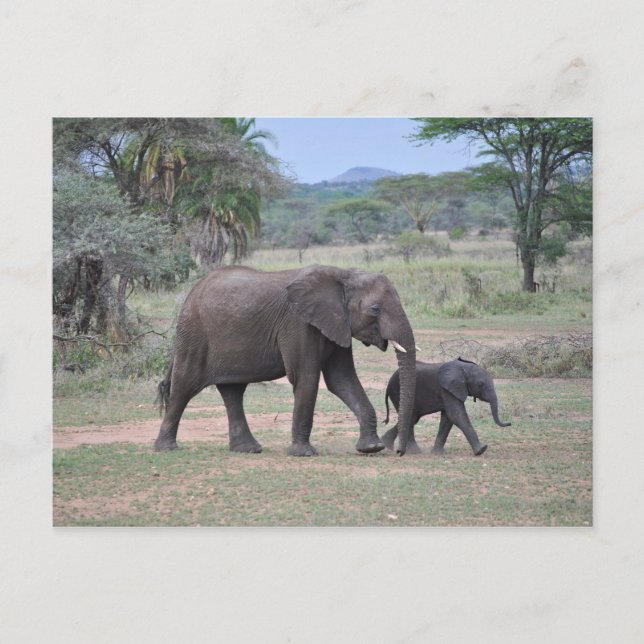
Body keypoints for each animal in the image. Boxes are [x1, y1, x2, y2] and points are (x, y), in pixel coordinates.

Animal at [154, 264, 417, 456]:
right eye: (375, 309)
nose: (399, 452)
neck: (343, 274)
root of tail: (192, 291)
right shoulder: (299, 323)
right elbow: (306, 378)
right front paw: (304, 453)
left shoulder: (336, 324)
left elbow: (342, 379)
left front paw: (371, 448)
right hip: (194, 332)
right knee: (184, 386)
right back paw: (166, 448)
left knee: (233, 391)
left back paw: (248, 449)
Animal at [381, 358, 511, 456]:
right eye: (481, 384)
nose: (509, 423)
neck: (463, 368)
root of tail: (388, 383)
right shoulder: (446, 389)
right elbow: (456, 415)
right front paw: (481, 450)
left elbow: (448, 418)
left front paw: (437, 453)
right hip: (397, 391)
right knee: (411, 418)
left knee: (412, 418)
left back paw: (397, 447)